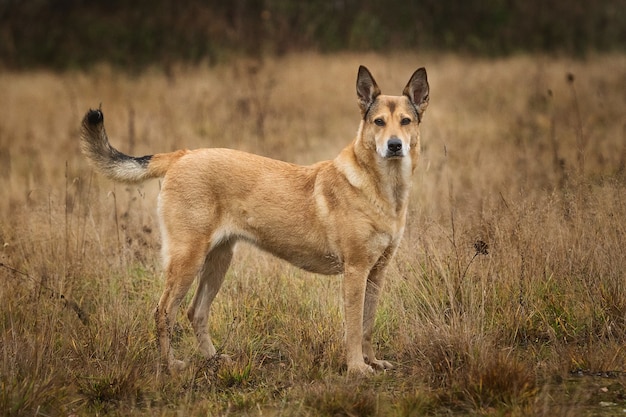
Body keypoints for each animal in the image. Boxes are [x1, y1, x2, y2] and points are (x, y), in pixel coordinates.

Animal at [79, 66, 428, 374]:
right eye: (379, 122)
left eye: (406, 121)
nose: (394, 145)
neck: (382, 188)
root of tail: (182, 154)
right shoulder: (355, 271)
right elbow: (354, 328)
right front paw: (357, 368)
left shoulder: (376, 272)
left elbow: (367, 325)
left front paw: (373, 362)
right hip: (187, 260)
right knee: (164, 312)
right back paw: (171, 366)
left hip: (218, 260)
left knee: (196, 312)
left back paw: (213, 359)